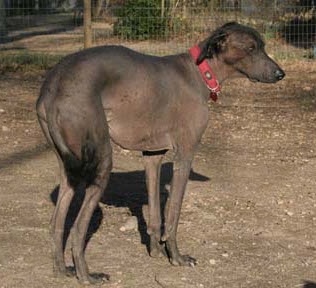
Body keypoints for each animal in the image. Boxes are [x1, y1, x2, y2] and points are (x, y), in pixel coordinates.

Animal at [35, 22, 286, 284]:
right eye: (251, 47)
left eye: (262, 45)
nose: (281, 74)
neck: (200, 73)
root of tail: (52, 86)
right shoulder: (184, 154)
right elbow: (173, 214)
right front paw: (176, 257)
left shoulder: (152, 156)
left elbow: (155, 213)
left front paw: (155, 250)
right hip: (101, 163)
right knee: (77, 229)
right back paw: (86, 276)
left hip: (68, 169)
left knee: (56, 223)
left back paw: (62, 270)